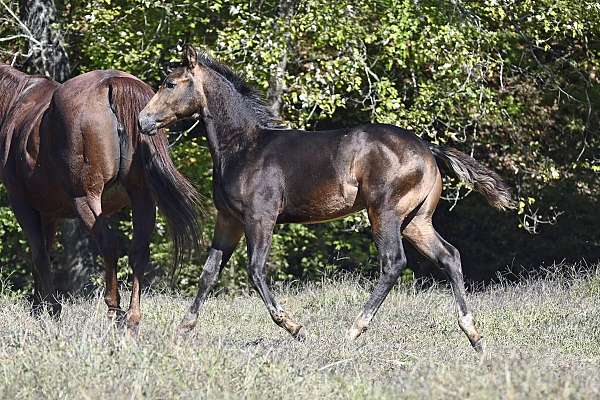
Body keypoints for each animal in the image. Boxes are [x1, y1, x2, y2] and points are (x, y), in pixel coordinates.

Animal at [0, 65, 202, 332]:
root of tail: (113, 83)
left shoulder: (22, 204)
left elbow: (39, 253)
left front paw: (51, 308)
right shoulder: (49, 213)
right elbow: (45, 252)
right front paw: (38, 306)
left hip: (86, 199)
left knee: (108, 246)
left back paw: (114, 311)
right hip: (143, 200)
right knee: (138, 251)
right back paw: (132, 317)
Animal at [138, 47, 512, 352]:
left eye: (170, 84)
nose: (143, 121)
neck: (243, 147)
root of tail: (427, 149)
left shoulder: (261, 217)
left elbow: (255, 271)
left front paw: (298, 330)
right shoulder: (228, 220)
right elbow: (209, 272)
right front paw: (182, 329)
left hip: (385, 213)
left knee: (393, 262)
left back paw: (353, 331)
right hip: (416, 221)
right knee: (449, 256)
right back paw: (474, 336)